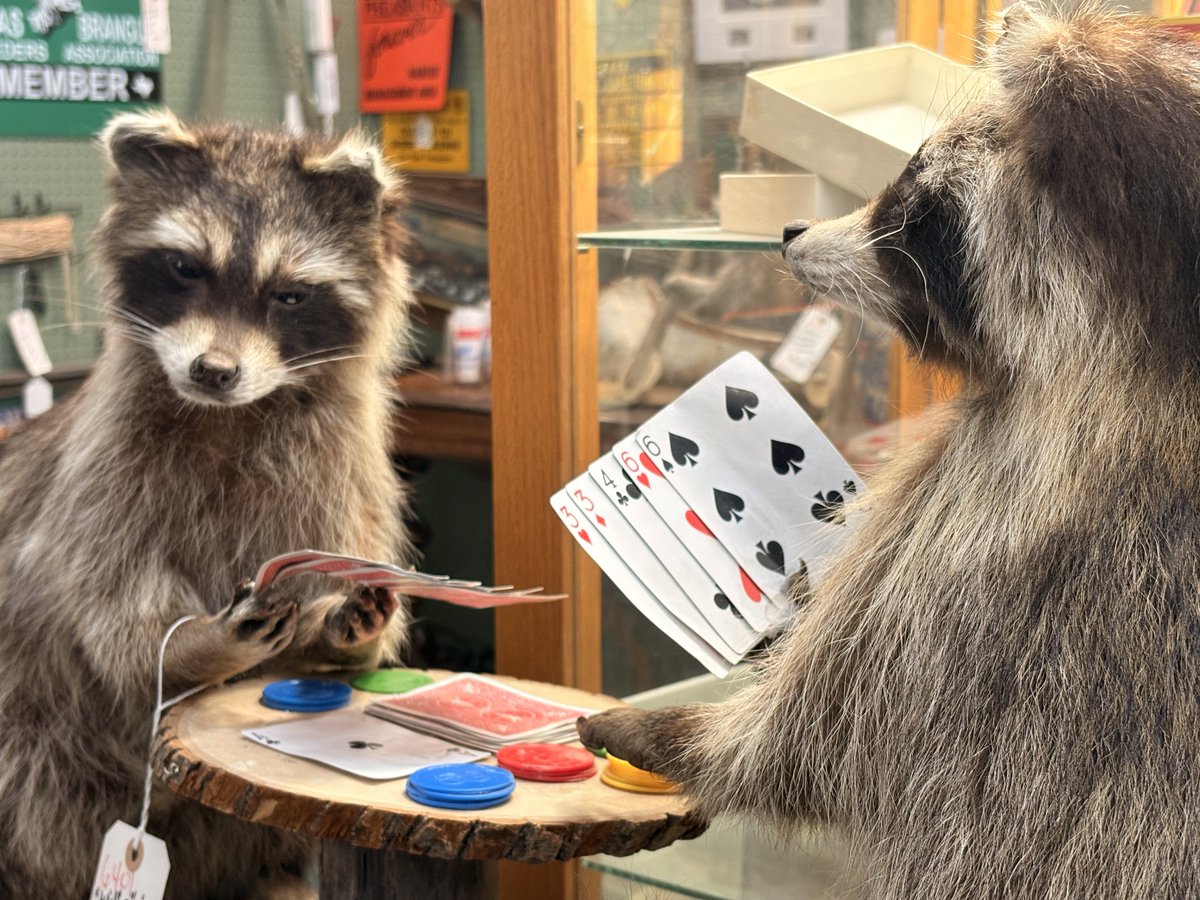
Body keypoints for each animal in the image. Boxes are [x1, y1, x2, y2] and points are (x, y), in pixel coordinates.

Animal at [0, 110, 413, 898]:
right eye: (187, 267)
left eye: (290, 294)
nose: (214, 371)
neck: (231, 414)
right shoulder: (99, 473)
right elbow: (111, 605)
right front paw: (189, 645)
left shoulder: (340, 476)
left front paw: (338, 629)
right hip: (37, 742)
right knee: (35, 788)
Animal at [581, 6, 1200, 895]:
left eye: (915, 209)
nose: (791, 231)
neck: (1160, 369)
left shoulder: (997, 544)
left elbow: (823, 729)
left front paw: (684, 732)